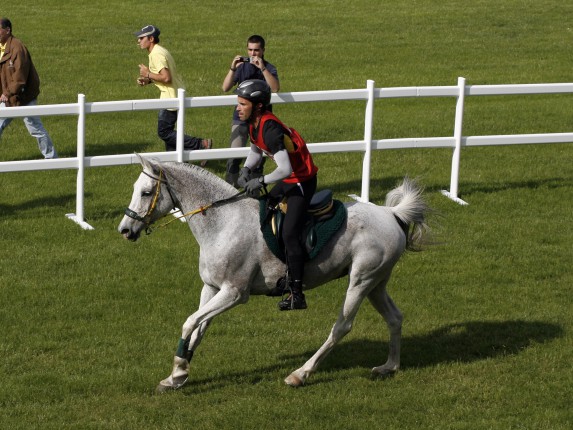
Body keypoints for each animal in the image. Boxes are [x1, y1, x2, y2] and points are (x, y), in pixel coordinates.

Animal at [117, 156, 428, 392]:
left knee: (342, 327)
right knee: (394, 317)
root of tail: (392, 214)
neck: (223, 222)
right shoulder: (211, 288)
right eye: (135, 188)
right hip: (376, 283)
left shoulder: (234, 293)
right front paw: (177, 375)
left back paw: (300, 374)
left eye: (146, 192)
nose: (124, 230)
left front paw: (180, 369)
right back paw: (389, 366)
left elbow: (190, 322)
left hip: (360, 281)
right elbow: (198, 328)